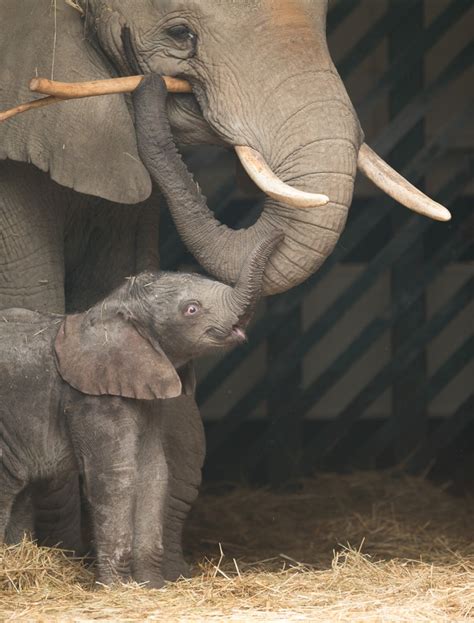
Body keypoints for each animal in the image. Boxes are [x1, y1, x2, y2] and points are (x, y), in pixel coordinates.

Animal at [0, 232, 282, 588]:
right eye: (191, 309)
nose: (279, 237)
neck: (112, 310)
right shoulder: (90, 400)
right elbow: (117, 475)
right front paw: (117, 588)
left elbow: (154, 471)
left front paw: (152, 586)